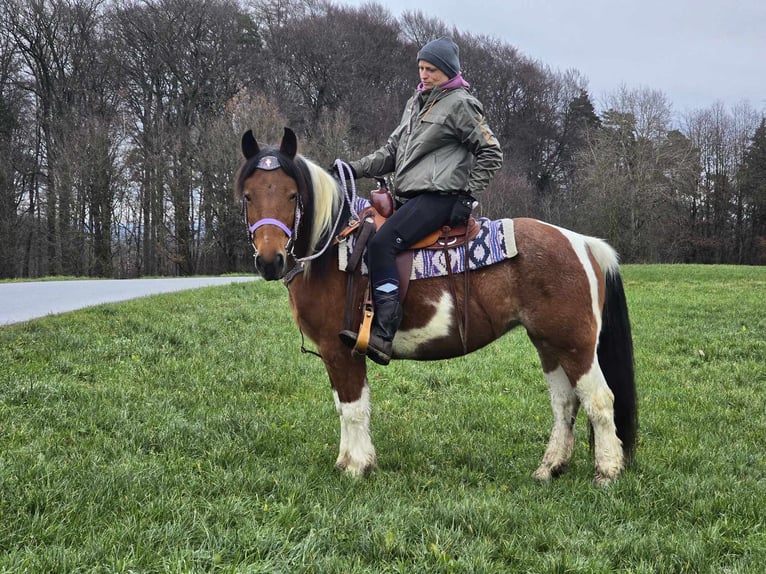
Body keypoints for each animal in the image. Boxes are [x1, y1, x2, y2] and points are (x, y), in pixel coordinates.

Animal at [237, 127, 640, 486]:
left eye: (292, 195)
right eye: (248, 196)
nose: (270, 261)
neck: (334, 247)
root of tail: (581, 242)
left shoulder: (340, 350)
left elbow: (352, 409)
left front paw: (356, 468)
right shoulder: (337, 354)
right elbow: (345, 405)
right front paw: (349, 462)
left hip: (575, 344)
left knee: (600, 400)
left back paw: (607, 472)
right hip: (548, 343)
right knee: (565, 403)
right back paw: (549, 468)